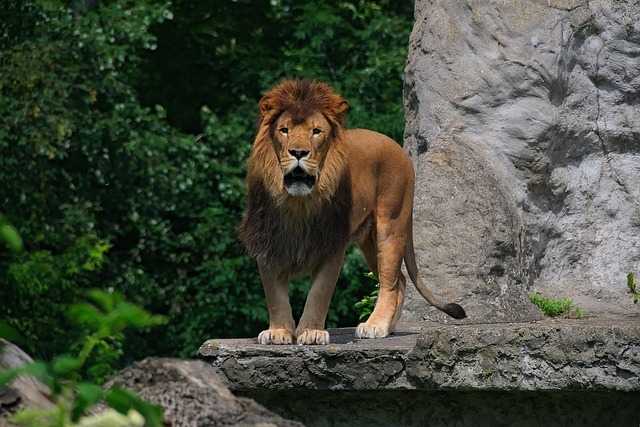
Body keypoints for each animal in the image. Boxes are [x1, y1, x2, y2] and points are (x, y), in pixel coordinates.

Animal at [239, 78, 466, 345]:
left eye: (316, 131)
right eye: (284, 130)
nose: (298, 152)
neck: (299, 203)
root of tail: (400, 149)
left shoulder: (331, 243)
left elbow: (320, 292)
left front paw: (312, 332)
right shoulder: (267, 240)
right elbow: (274, 295)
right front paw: (278, 331)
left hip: (391, 225)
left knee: (390, 281)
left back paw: (376, 325)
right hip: (369, 242)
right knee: (399, 279)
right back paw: (389, 326)